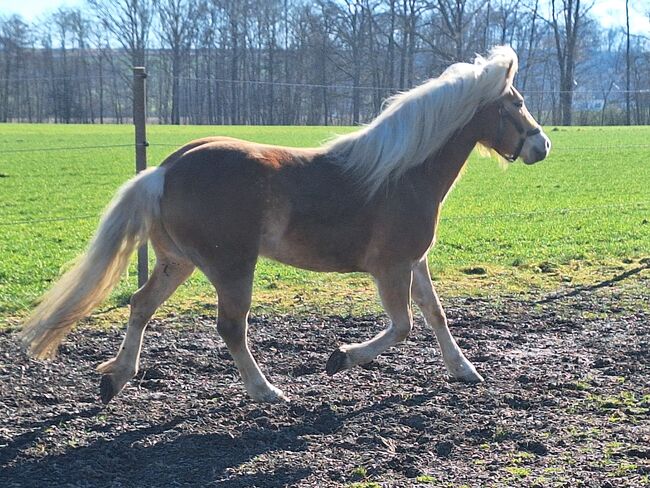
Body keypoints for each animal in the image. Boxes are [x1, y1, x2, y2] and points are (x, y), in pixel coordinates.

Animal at [20, 45, 548, 404]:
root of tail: (165, 171)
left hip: (177, 262)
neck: (401, 173)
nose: (542, 146)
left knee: (140, 305)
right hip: (232, 268)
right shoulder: (391, 268)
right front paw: (340, 358)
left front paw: (465, 370)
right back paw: (265, 391)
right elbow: (403, 325)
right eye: (516, 103)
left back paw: (115, 378)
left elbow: (436, 316)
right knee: (231, 327)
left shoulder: (414, 262)